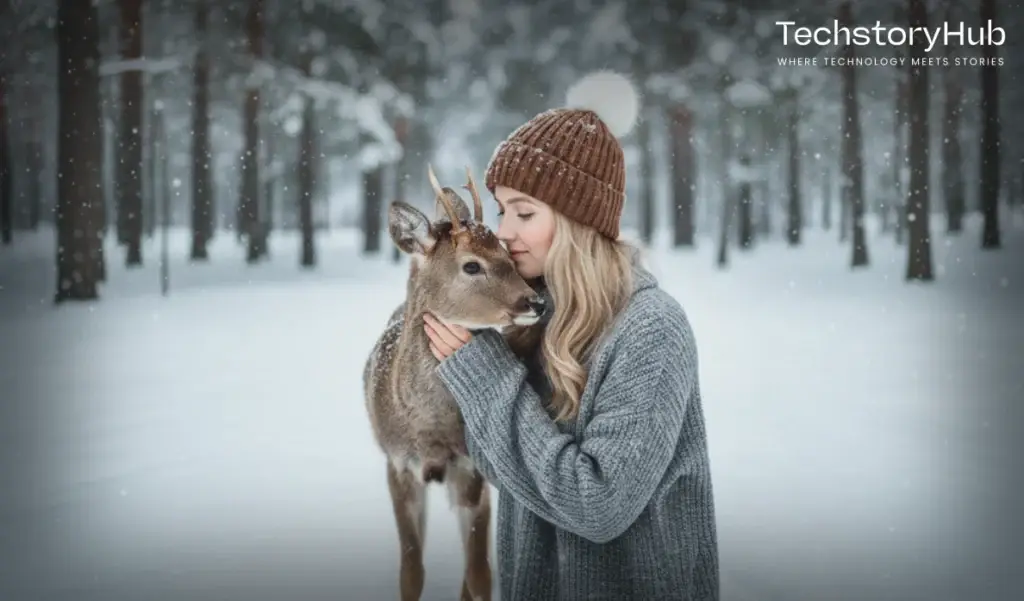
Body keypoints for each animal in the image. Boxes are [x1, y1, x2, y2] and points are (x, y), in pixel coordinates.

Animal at [363, 166, 546, 601]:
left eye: (508, 254)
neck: (430, 431)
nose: (535, 303)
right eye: (472, 266)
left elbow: (479, 575)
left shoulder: (471, 468)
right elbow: (411, 571)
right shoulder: (397, 464)